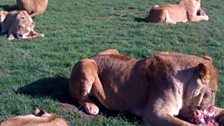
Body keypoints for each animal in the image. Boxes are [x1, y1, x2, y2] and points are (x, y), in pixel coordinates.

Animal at [69, 49, 223, 126]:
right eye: (212, 92)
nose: (209, 107)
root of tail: (92, 56)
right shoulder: (153, 113)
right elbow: (185, 125)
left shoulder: (185, 109)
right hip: (87, 65)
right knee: (78, 96)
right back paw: (91, 106)